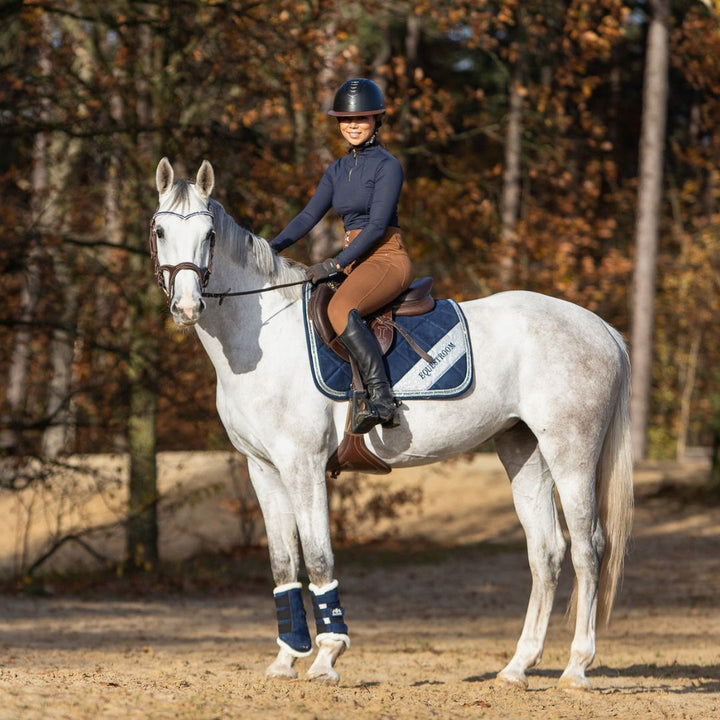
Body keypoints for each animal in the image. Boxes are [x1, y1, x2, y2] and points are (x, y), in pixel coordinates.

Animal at [149, 159, 632, 692]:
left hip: (572, 453)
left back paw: (576, 668)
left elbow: (318, 556)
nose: (187, 307)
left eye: (210, 234)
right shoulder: (263, 469)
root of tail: (600, 327)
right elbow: (282, 561)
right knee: (545, 552)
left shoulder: (302, 466)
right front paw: (286, 658)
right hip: (524, 450)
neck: (262, 339)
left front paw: (327, 657)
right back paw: (516, 668)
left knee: (589, 549)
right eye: (160, 230)